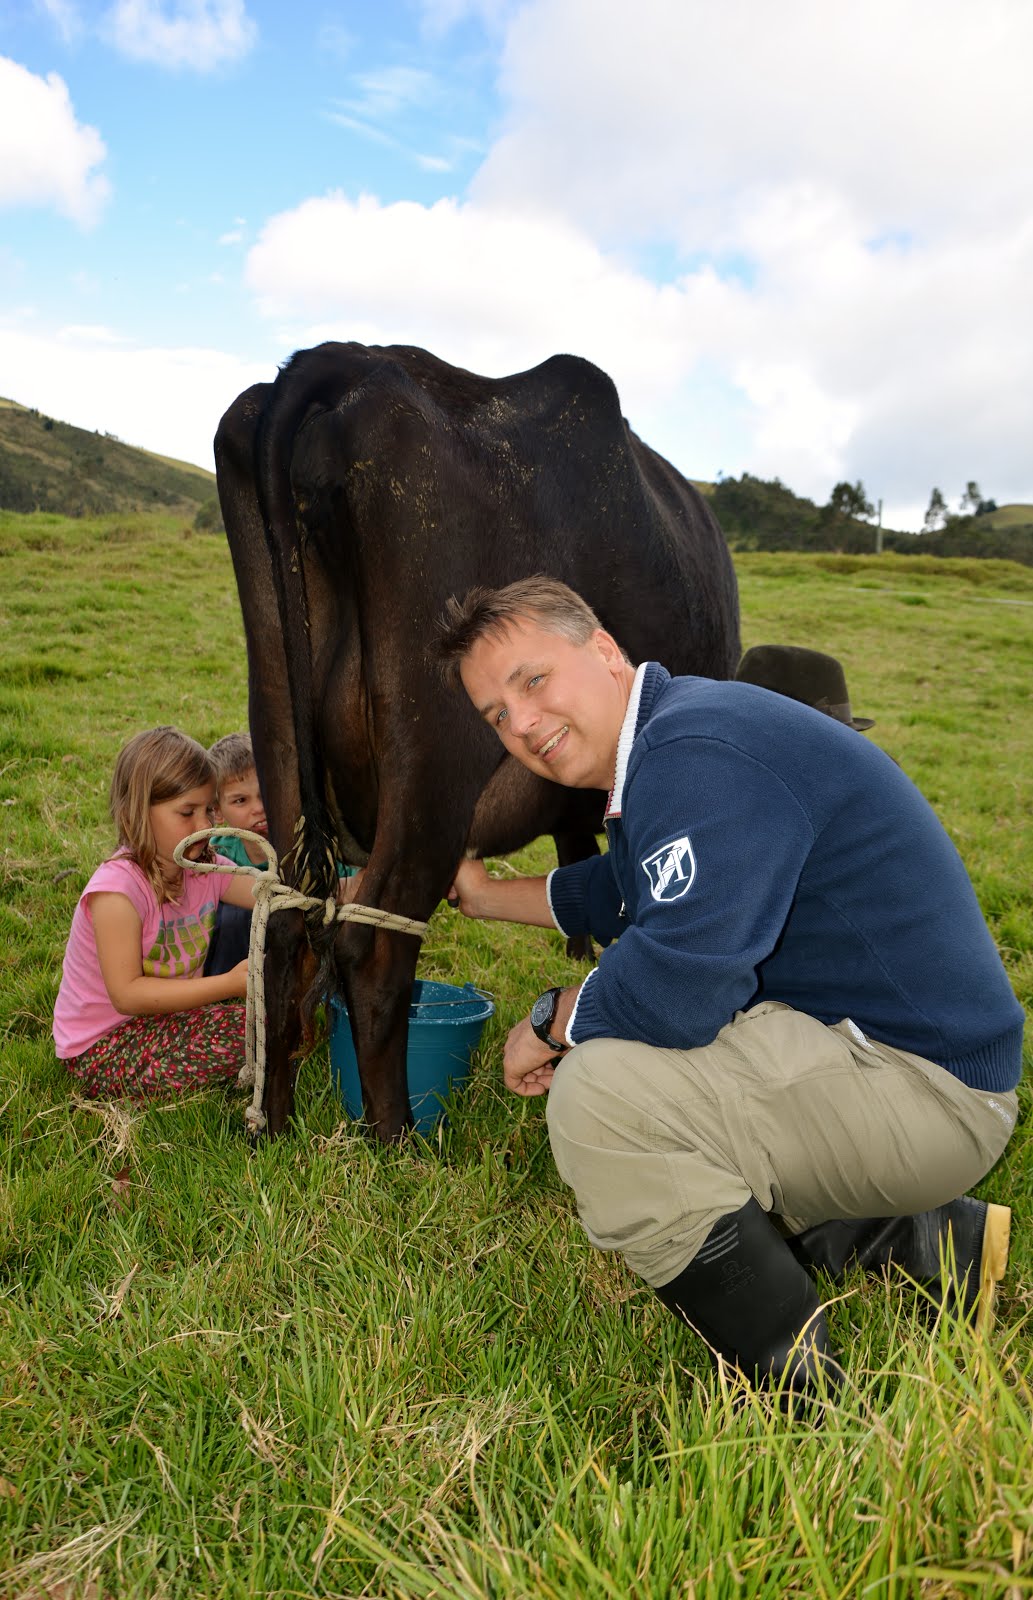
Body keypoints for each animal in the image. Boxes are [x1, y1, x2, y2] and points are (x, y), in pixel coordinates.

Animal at [214, 340, 741, 1139]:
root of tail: (353, 359)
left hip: (276, 712)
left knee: (284, 925)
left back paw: (272, 1125)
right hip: (435, 753)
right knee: (374, 942)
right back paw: (396, 1137)